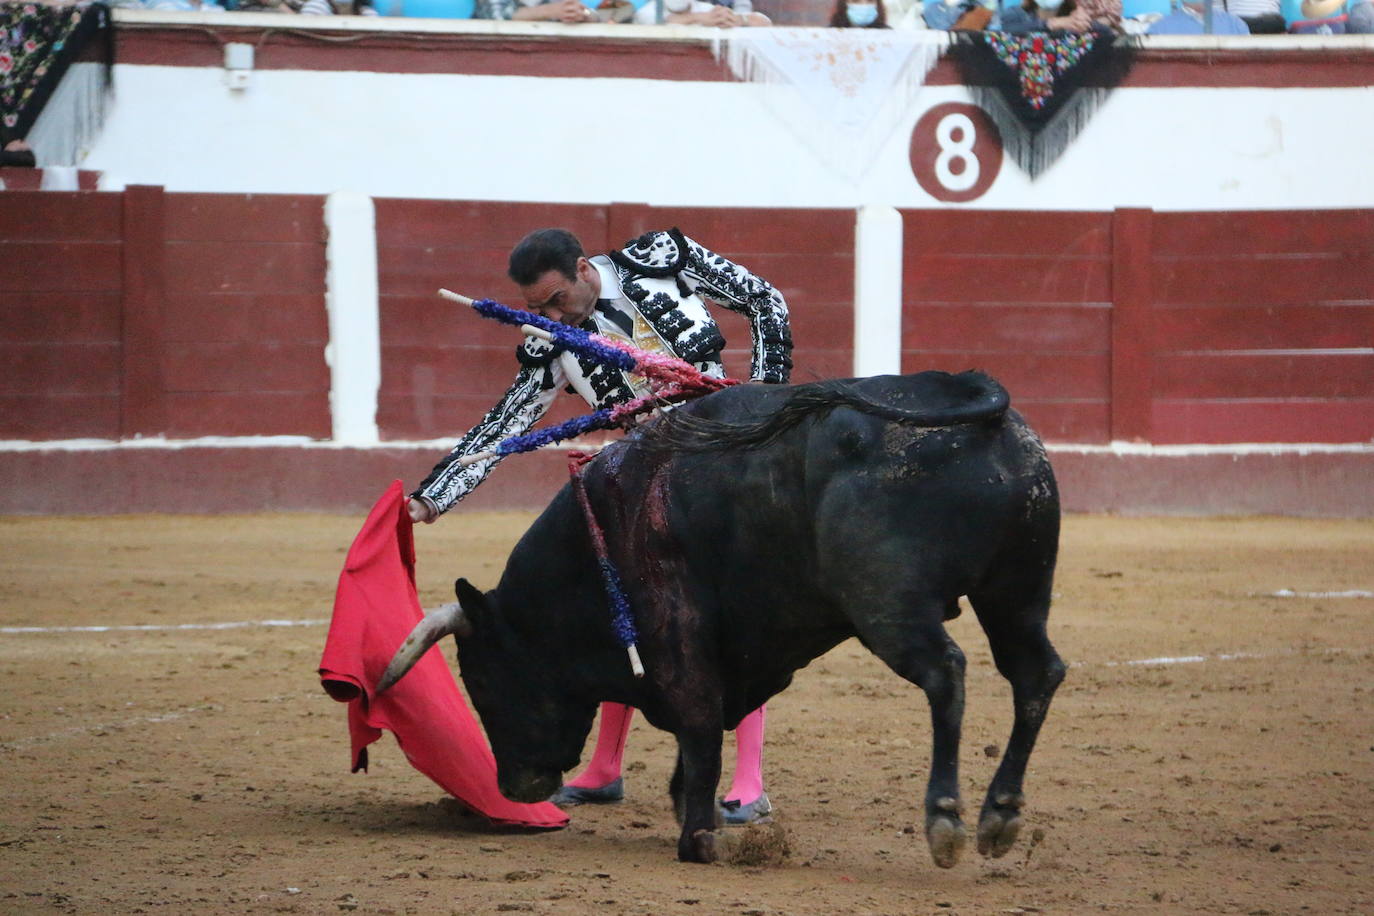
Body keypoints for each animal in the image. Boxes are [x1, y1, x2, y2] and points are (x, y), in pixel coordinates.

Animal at [381, 370, 1066, 867]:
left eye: (481, 680)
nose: (512, 786)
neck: (598, 535)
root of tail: (962, 388)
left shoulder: (675, 634)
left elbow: (699, 724)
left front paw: (699, 839)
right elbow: (700, 734)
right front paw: (697, 812)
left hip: (889, 607)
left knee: (946, 673)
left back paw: (945, 820)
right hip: (1017, 593)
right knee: (1036, 673)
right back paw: (1000, 817)